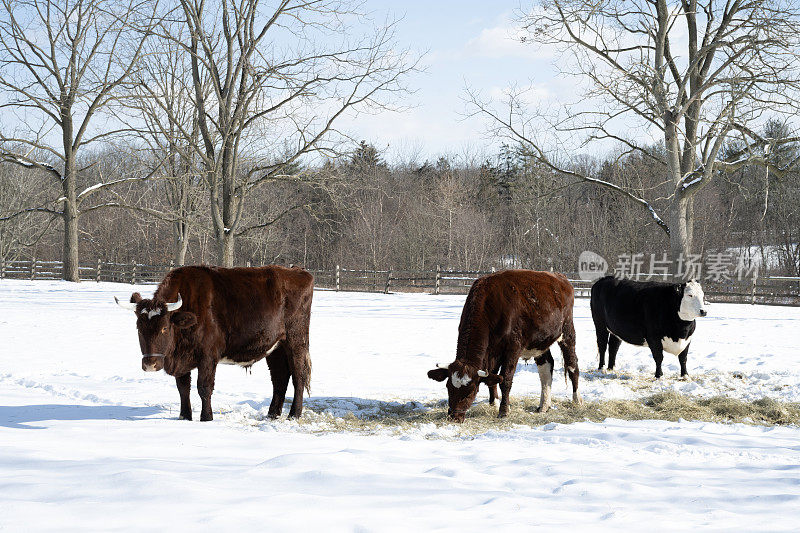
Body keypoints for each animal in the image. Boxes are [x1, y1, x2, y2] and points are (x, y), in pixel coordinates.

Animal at [115, 264, 312, 420]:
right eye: (139, 328)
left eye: (164, 328)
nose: (150, 364)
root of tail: (298, 271)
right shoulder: (181, 360)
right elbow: (183, 388)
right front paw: (184, 417)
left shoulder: (208, 357)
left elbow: (204, 387)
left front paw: (206, 418)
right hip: (276, 347)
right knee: (280, 378)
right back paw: (272, 414)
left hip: (296, 341)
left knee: (298, 376)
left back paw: (294, 414)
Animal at [424, 270, 580, 420]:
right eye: (448, 387)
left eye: (470, 391)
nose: (454, 417)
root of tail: (561, 278)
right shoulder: (493, 352)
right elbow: (492, 378)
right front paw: (493, 404)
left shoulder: (513, 348)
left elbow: (505, 379)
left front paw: (504, 410)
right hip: (539, 342)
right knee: (546, 367)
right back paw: (544, 406)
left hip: (567, 332)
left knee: (572, 365)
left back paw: (577, 401)